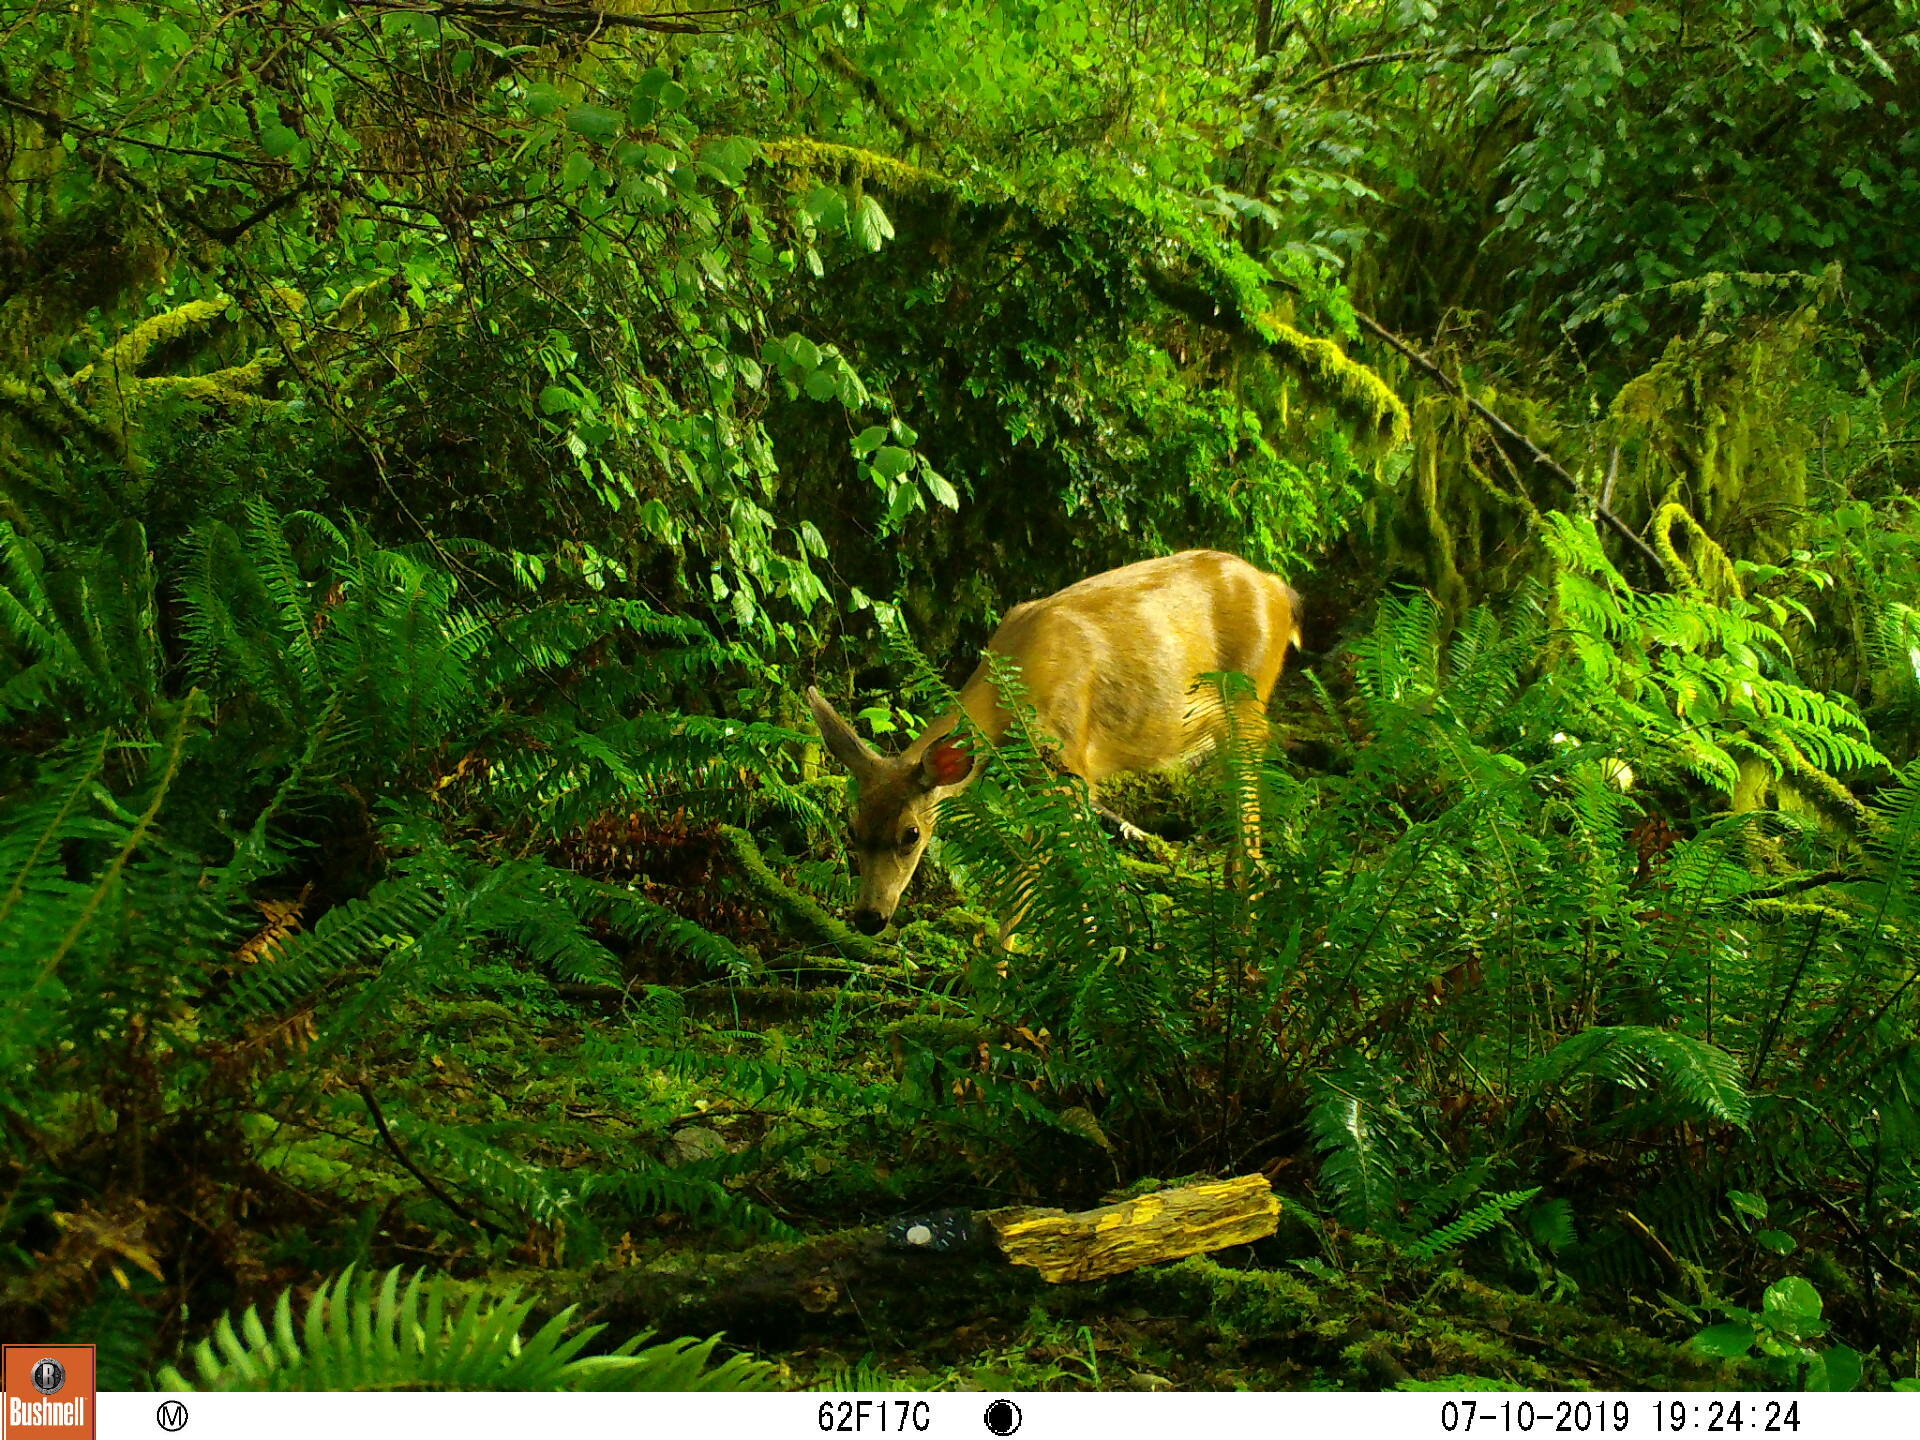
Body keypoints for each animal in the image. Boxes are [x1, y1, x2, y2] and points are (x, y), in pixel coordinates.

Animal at [806, 549, 1303, 936]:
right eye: (852, 828)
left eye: (910, 834)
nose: (869, 918)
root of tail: (1278, 588)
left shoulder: (1070, 766)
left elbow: (1049, 875)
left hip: (1247, 707)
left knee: (1250, 836)